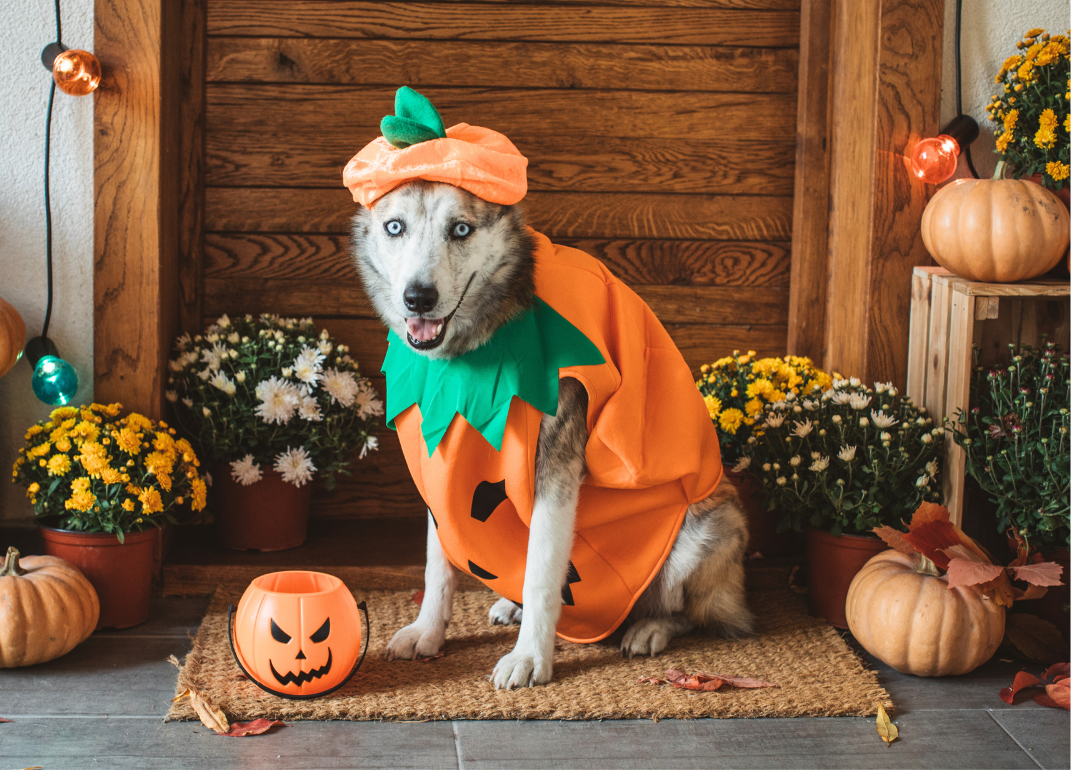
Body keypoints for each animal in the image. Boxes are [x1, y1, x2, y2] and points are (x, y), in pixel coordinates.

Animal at [352, 181, 751, 691]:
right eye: (394, 227)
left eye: (460, 229)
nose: (417, 298)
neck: (482, 342)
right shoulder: (436, 461)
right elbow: (437, 563)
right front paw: (428, 632)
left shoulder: (556, 466)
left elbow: (542, 573)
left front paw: (529, 658)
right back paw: (513, 606)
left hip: (711, 528)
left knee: (694, 614)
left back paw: (650, 627)